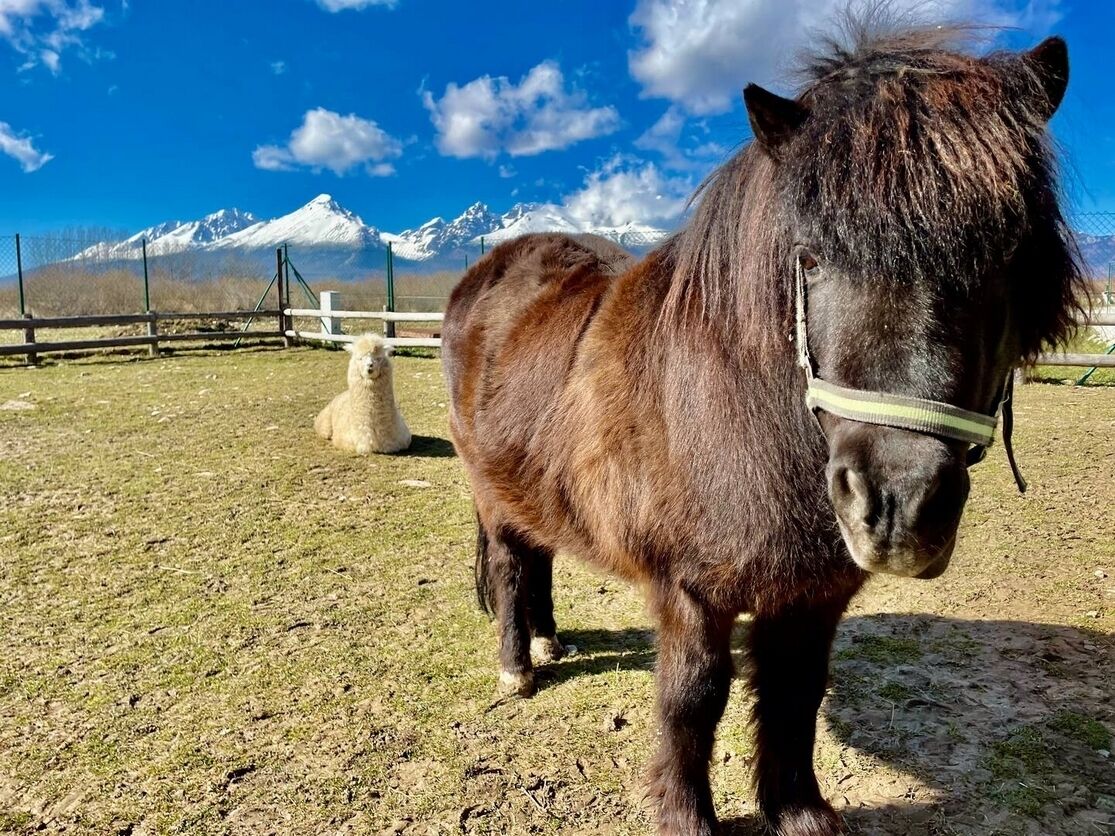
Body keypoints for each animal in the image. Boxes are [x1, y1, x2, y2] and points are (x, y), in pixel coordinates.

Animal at [441, 21, 1083, 836]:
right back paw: (517, 665)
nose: (896, 508)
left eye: (1006, 254)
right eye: (810, 256)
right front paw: (686, 816)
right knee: (508, 563)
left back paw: (549, 636)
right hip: (490, 493)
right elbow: (693, 699)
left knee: (541, 551)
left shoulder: (814, 593)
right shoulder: (689, 591)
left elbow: (794, 692)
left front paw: (798, 810)